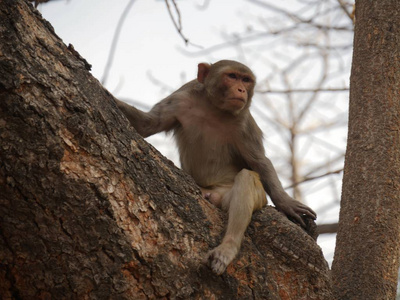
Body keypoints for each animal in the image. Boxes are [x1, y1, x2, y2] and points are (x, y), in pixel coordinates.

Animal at [115, 59, 316, 276]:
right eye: (232, 76)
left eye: (246, 80)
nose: (241, 89)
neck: (214, 109)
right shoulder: (180, 98)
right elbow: (148, 124)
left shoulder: (244, 124)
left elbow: (260, 162)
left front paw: (285, 202)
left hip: (226, 195)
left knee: (247, 179)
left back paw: (227, 249)